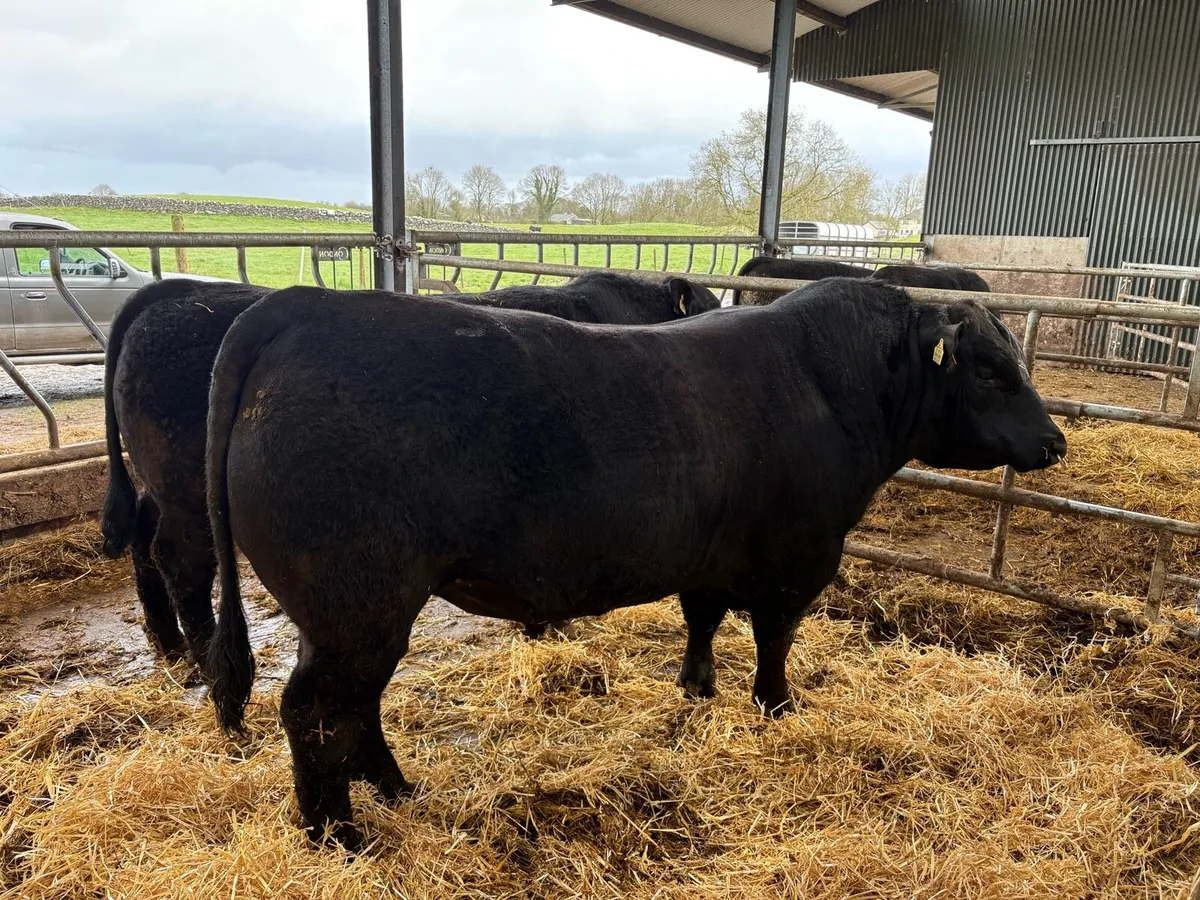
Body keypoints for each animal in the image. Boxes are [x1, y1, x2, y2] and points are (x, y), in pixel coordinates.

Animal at [101, 272, 719, 665]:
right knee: (179, 561)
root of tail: (182, 291)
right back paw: (203, 659)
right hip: (188, 496)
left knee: (142, 538)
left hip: (158, 483)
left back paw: (170, 648)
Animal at [204, 277, 1067, 848]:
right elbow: (776, 639)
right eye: (989, 368)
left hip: (353, 614)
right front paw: (777, 709)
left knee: (357, 706)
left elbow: (703, 618)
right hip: (358, 602)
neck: (832, 385)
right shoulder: (801, 556)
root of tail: (302, 306)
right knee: (315, 712)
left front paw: (696, 688)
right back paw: (340, 838)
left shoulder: (711, 554)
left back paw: (395, 789)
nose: (1056, 441)